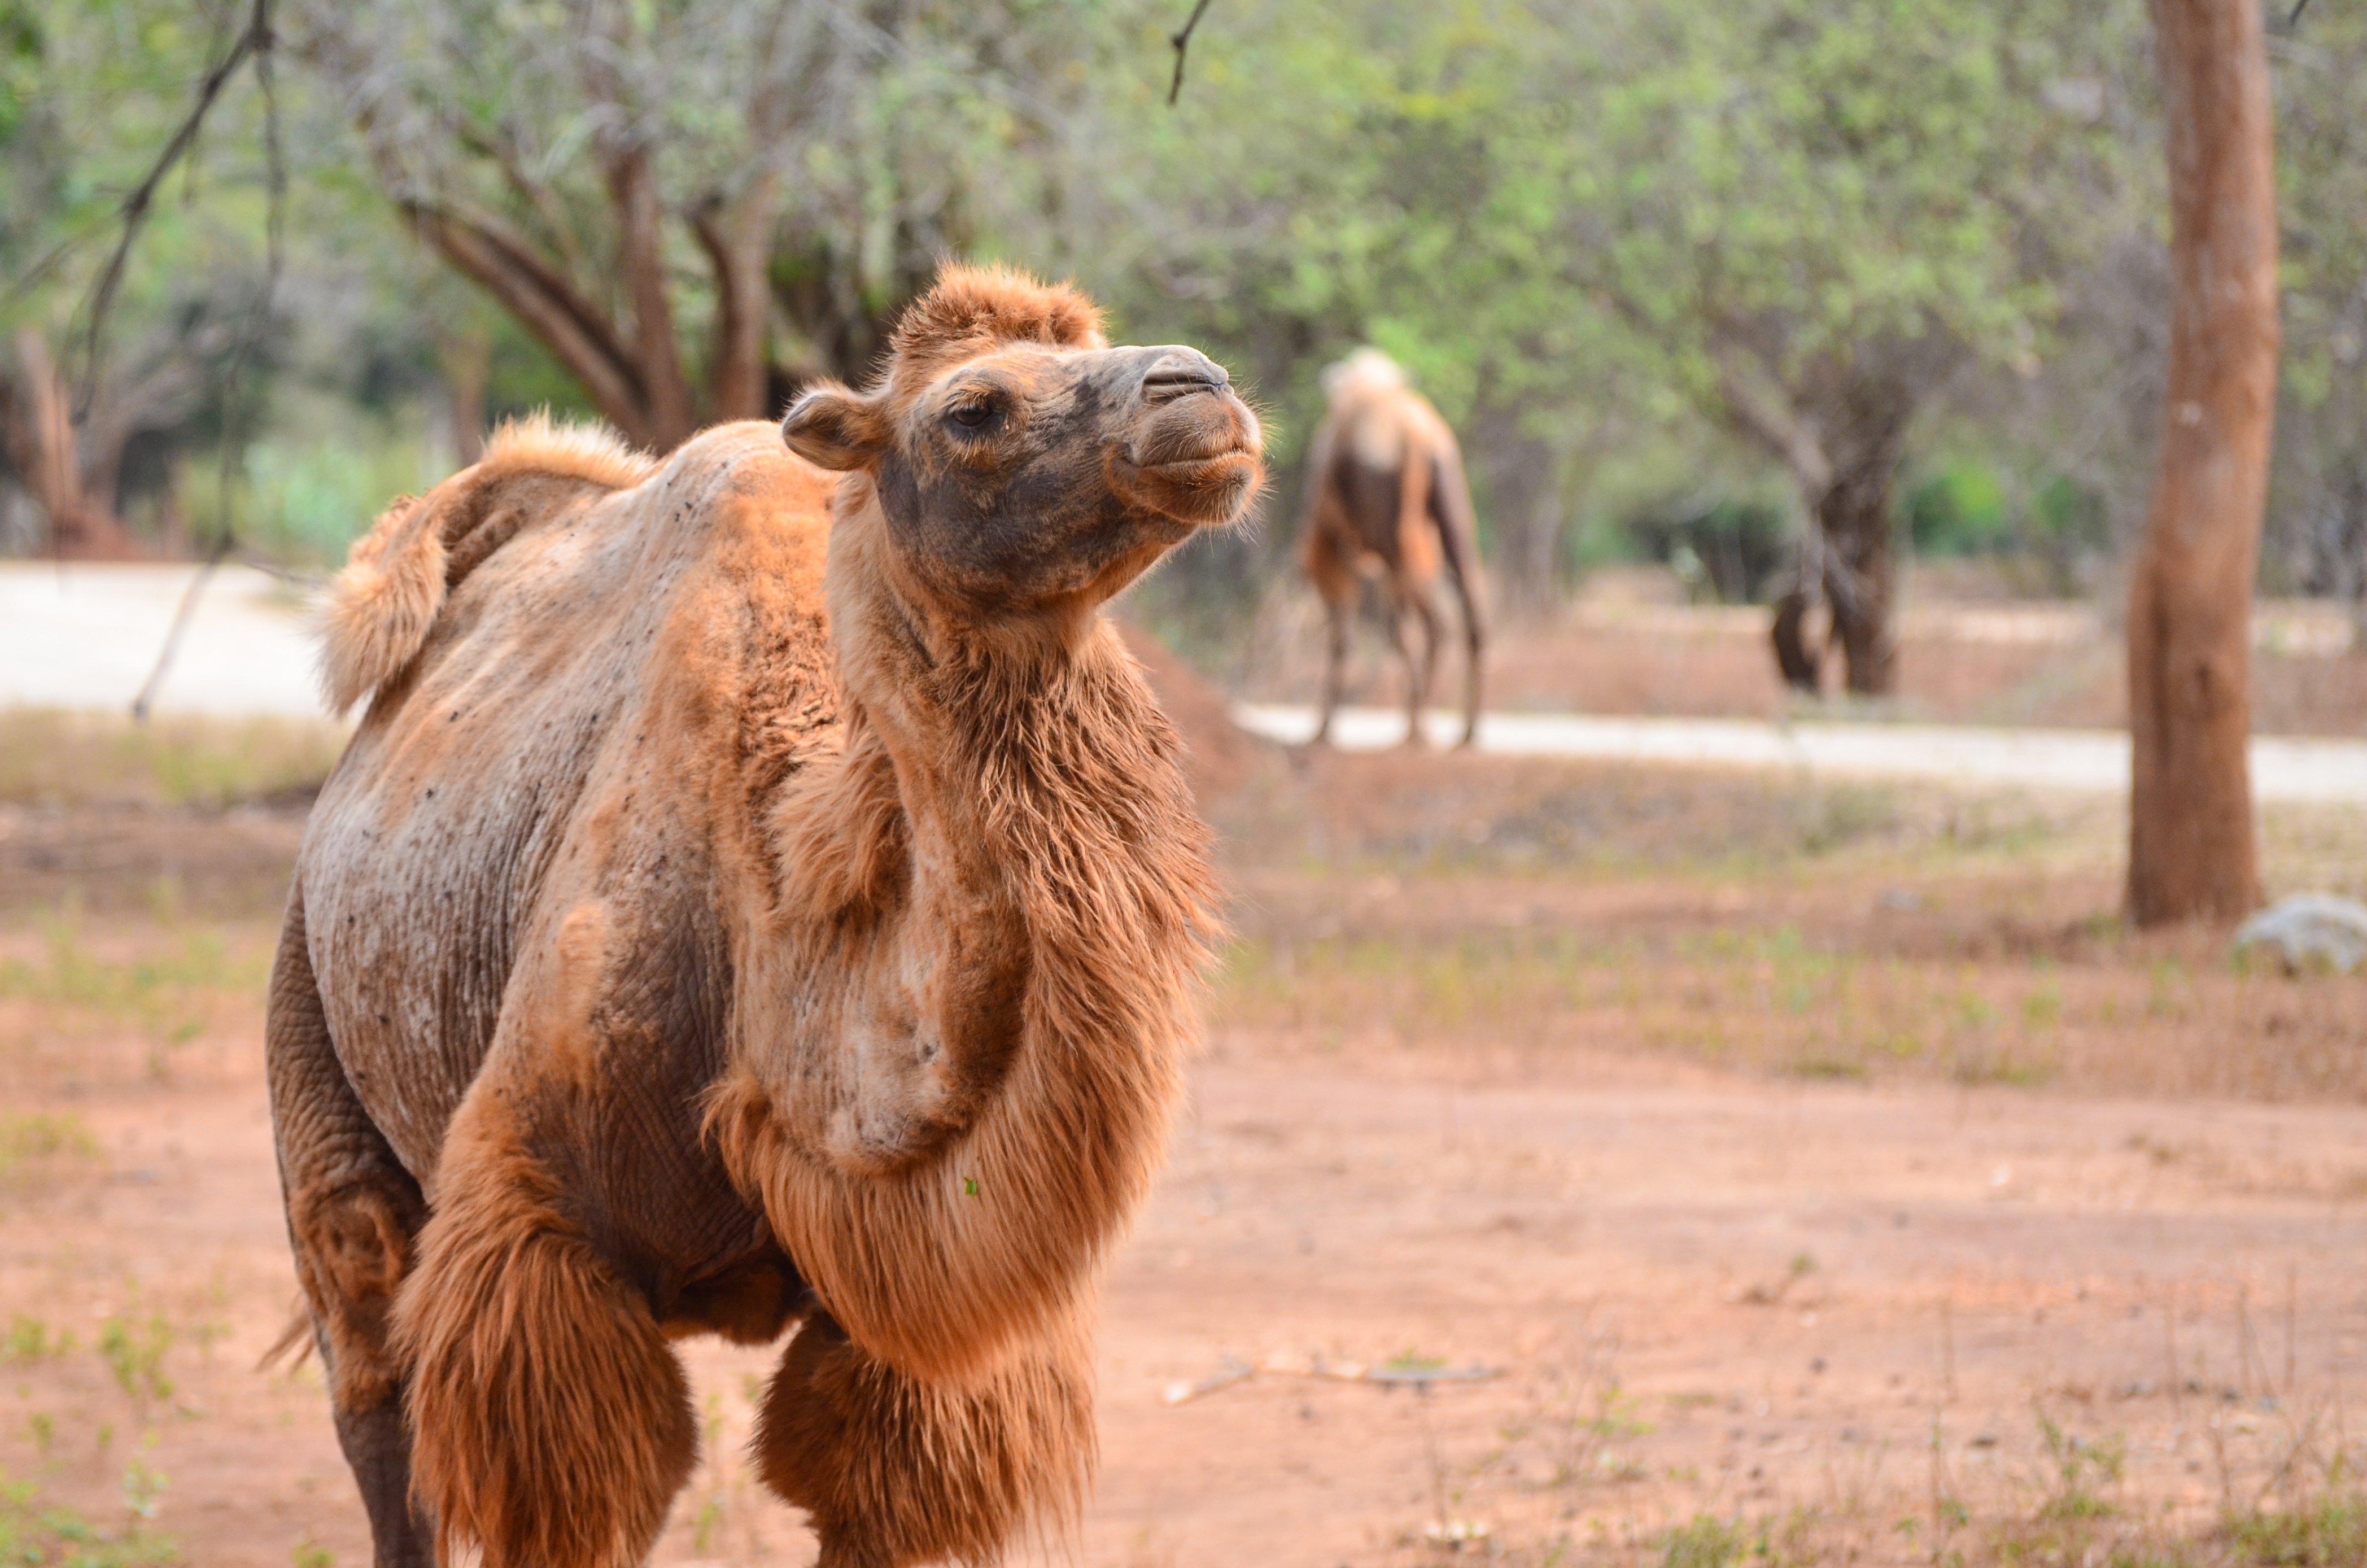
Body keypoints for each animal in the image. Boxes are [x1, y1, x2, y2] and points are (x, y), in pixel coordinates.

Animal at [268, 270, 1268, 1568]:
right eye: (973, 408)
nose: (1201, 392)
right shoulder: (538, 1241)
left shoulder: (900, 1327)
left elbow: (875, 1479)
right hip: (310, 1014)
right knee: (373, 1372)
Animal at [1297, 350, 1477, 758]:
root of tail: (1417, 437)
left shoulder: (1333, 547)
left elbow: (1343, 633)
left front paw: (1322, 731)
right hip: (1446, 508)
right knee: (1467, 608)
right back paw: (1462, 731)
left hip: (1391, 538)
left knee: (1429, 625)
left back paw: (1418, 729)